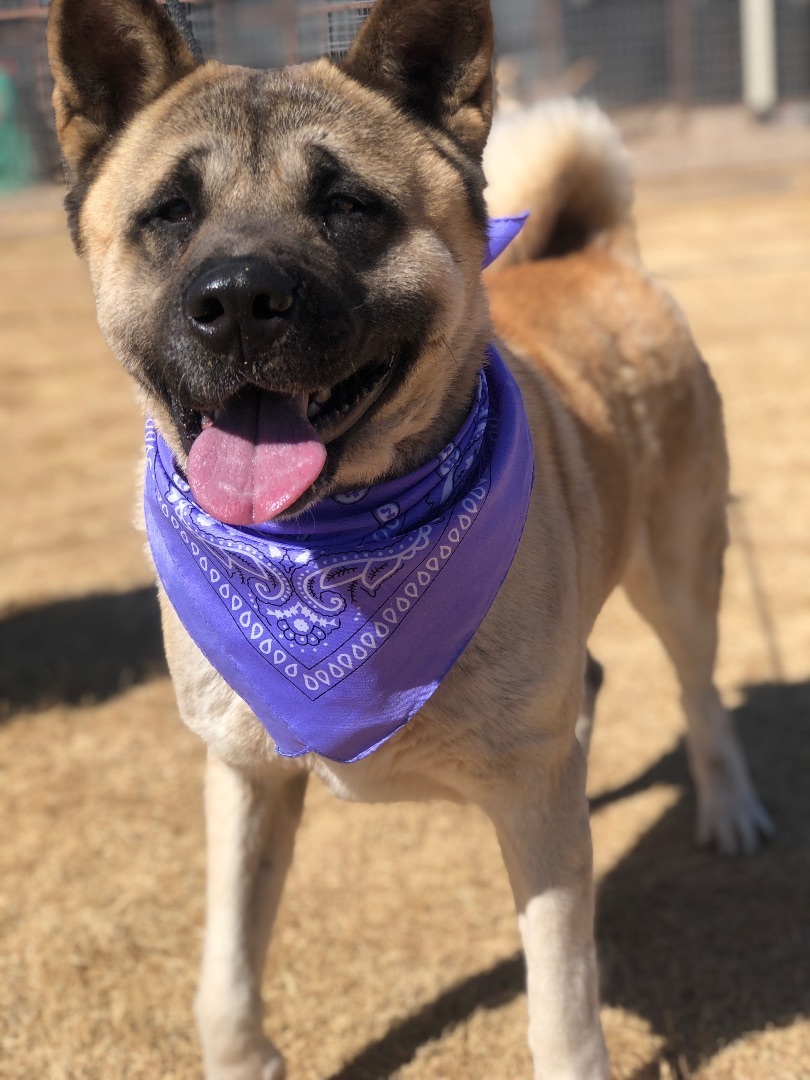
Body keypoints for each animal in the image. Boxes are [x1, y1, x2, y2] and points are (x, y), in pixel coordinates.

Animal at [45, 2, 773, 1080]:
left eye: (347, 204)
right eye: (171, 211)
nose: (238, 300)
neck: (328, 559)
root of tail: (601, 254)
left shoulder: (535, 810)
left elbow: (563, 1008)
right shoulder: (244, 771)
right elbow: (224, 967)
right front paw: (244, 1055)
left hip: (681, 573)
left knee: (701, 694)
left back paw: (730, 810)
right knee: (595, 689)